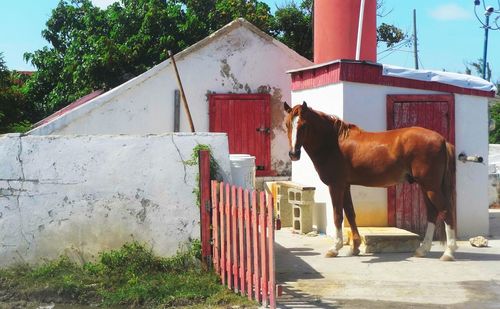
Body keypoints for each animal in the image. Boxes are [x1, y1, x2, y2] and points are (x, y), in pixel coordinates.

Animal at [286, 101, 458, 260]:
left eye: (303, 125)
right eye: (287, 124)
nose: (293, 154)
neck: (333, 143)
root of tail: (442, 140)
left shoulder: (336, 186)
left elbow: (338, 215)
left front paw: (335, 248)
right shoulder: (345, 186)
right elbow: (350, 213)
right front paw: (354, 248)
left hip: (431, 187)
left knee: (446, 212)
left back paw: (448, 252)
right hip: (425, 187)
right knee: (432, 213)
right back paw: (422, 250)